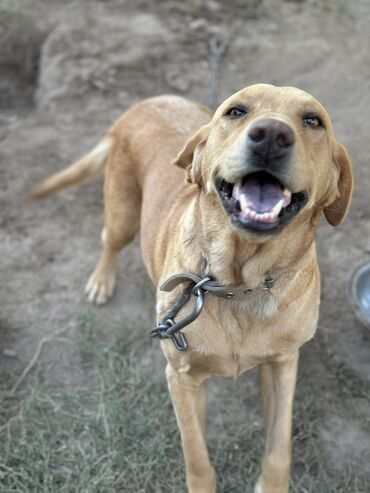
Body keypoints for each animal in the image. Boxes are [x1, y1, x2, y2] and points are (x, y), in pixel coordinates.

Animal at [28, 82, 352, 490]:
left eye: (313, 120)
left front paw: (272, 482)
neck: (237, 285)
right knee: (109, 241)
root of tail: (146, 102)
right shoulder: (182, 378)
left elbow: (280, 446)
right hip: (123, 215)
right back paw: (101, 280)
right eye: (236, 111)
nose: (271, 135)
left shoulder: (283, 363)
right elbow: (197, 458)